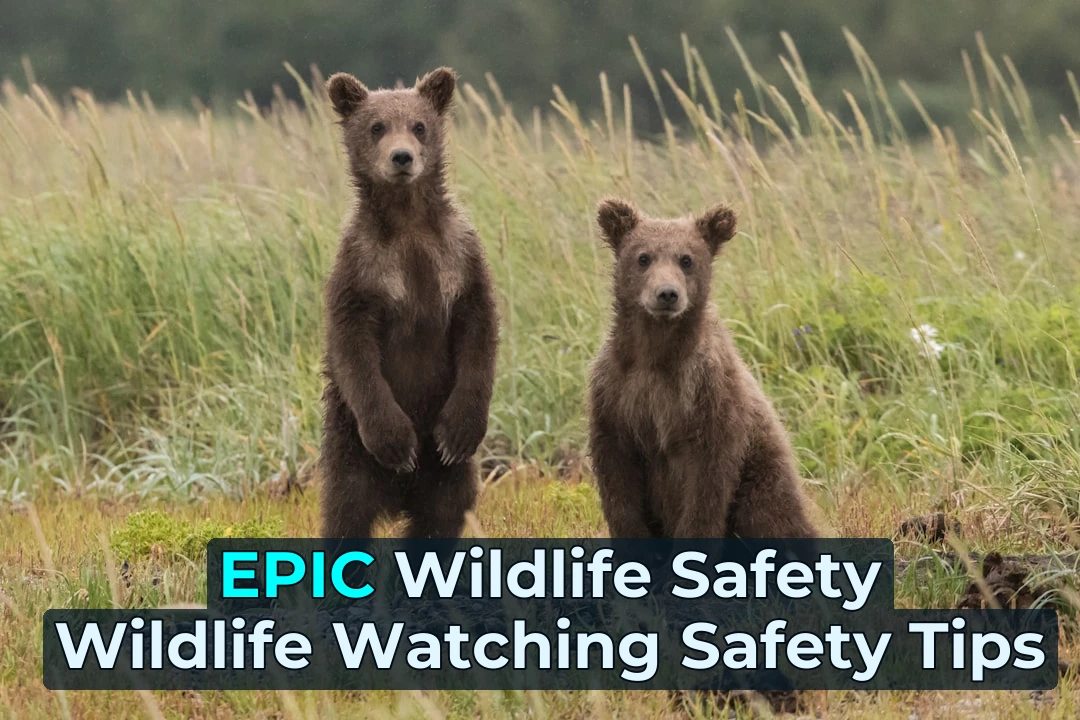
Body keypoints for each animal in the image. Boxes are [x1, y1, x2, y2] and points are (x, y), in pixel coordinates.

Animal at [319, 67, 498, 539]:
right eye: (376, 126)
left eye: (419, 126)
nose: (402, 157)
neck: (408, 222)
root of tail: (399, 496)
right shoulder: (361, 267)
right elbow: (354, 348)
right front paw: (397, 441)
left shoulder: (460, 257)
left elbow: (479, 331)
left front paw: (459, 432)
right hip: (349, 448)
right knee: (346, 515)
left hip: (447, 475)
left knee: (443, 514)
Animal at [587, 198, 819, 539]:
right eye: (643, 257)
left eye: (686, 259)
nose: (667, 294)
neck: (656, 354)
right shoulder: (616, 393)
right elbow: (618, 484)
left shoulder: (707, 396)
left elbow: (705, 489)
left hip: (762, 474)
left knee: (771, 516)